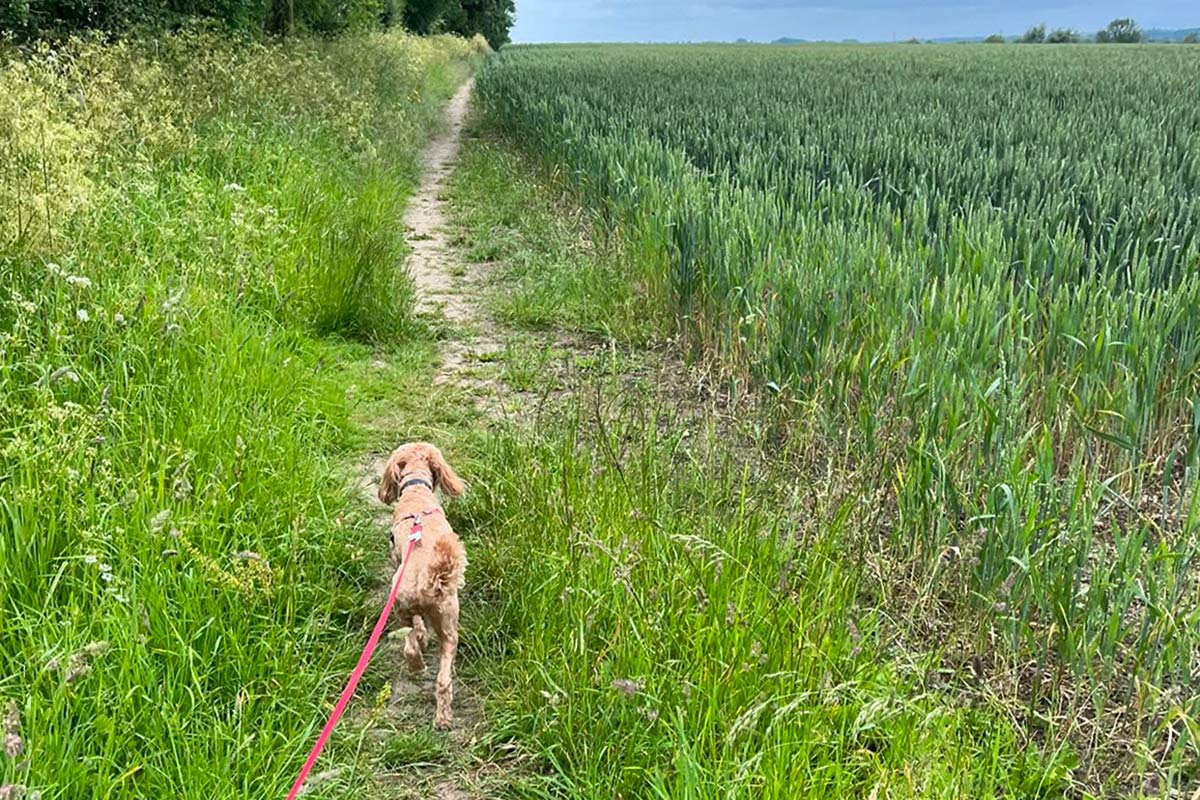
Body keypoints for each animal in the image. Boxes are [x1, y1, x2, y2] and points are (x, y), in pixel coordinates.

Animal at [376, 443, 465, 734]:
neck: (417, 488)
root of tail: (429, 581)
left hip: (400, 606)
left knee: (411, 641)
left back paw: (417, 665)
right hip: (449, 626)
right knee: (443, 679)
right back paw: (443, 719)